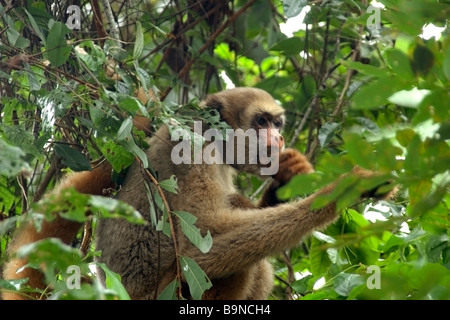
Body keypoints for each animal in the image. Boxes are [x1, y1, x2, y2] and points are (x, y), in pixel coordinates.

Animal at [0, 87, 394, 300]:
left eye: (277, 123)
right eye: (261, 122)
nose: (278, 137)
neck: (214, 139)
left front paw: (287, 179)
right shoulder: (191, 149)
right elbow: (202, 239)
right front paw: (344, 189)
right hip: (168, 292)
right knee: (242, 265)